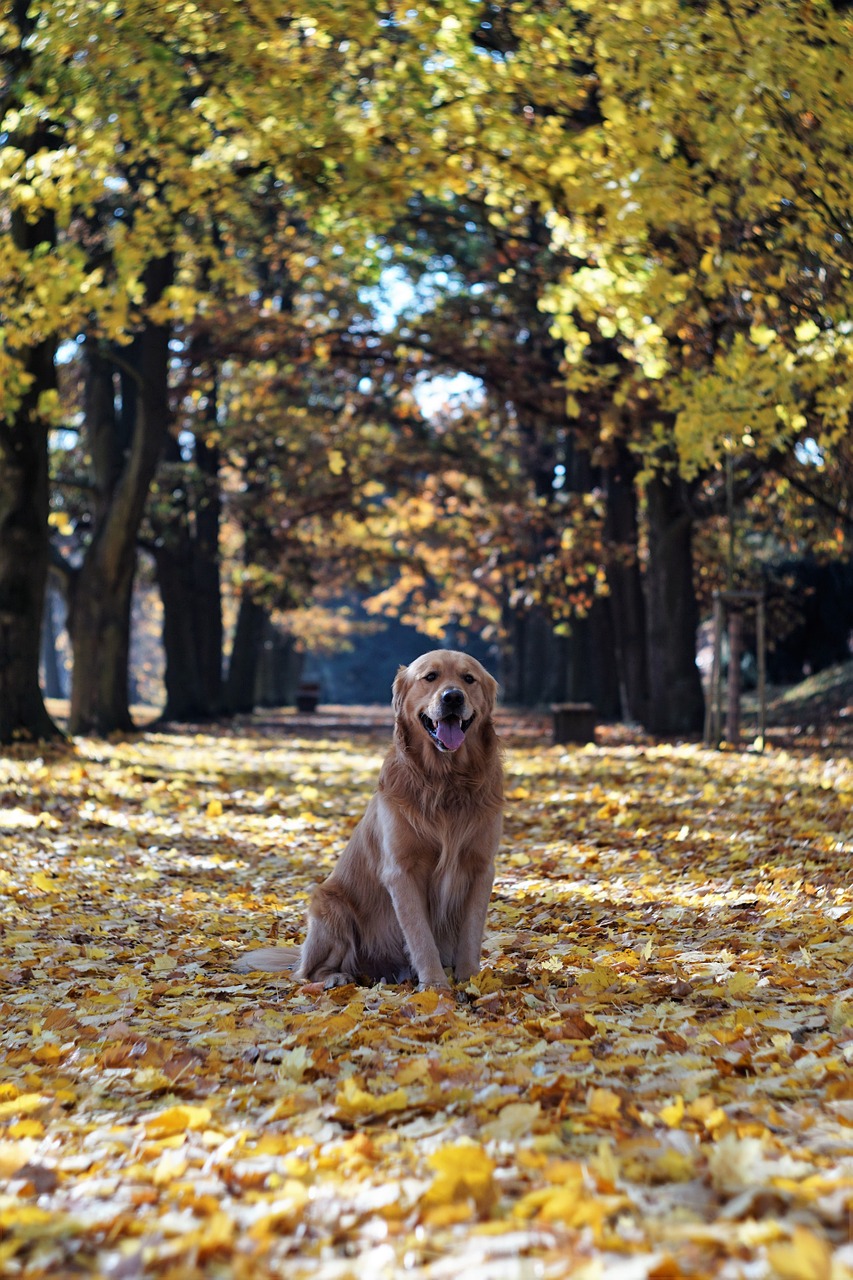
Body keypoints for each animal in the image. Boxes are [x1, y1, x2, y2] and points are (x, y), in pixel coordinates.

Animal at [234, 650, 499, 988]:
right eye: (430, 677)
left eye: (468, 678)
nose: (453, 697)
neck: (446, 781)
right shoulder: (402, 871)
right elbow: (421, 936)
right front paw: (435, 986)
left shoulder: (481, 867)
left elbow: (471, 932)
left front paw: (471, 981)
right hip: (330, 905)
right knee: (308, 972)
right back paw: (337, 977)